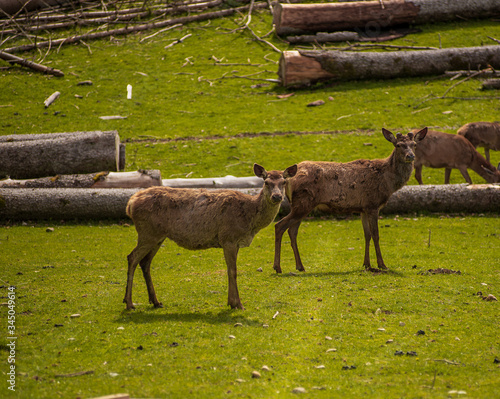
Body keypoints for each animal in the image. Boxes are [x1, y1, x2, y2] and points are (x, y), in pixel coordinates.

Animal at [124, 163, 296, 312]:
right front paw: (238, 304)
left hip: (158, 236)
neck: (250, 220)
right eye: (266, 182)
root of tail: (130, 204)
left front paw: (231, 302)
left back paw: (155, 301)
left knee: (145, 262)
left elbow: (229, 270)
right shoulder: (228, 238)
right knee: (132, 257)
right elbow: (233, 271)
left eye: (284, 181)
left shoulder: (234, 242)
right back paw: (129, 303)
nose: (277, 197)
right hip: (147, 233)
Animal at [272, 128, 428, 276]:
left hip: (301, 205)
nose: (410, 156)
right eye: (398, 145)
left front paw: (366, 264)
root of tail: (288, 180)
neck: (387, 181)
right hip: (303, 203)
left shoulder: (363, 208)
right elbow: (376, 234)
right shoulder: (373, 204)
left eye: (414, 144)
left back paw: (300, 266)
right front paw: (382, 265)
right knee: (279, 225)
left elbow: (367, 234)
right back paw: (278, 267)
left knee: (292, 231)